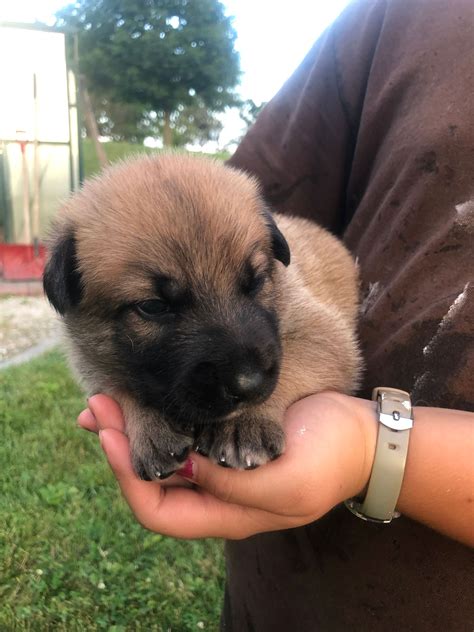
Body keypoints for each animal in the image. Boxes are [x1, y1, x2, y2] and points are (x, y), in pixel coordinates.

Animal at [45, 153, 362, 478]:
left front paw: (243, 422)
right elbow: (121, 385)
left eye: (257, 281)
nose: (249, 383)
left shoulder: (324, 332)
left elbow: (293, 363)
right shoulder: (94, 364)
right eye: (153, 306)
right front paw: (151, 429)